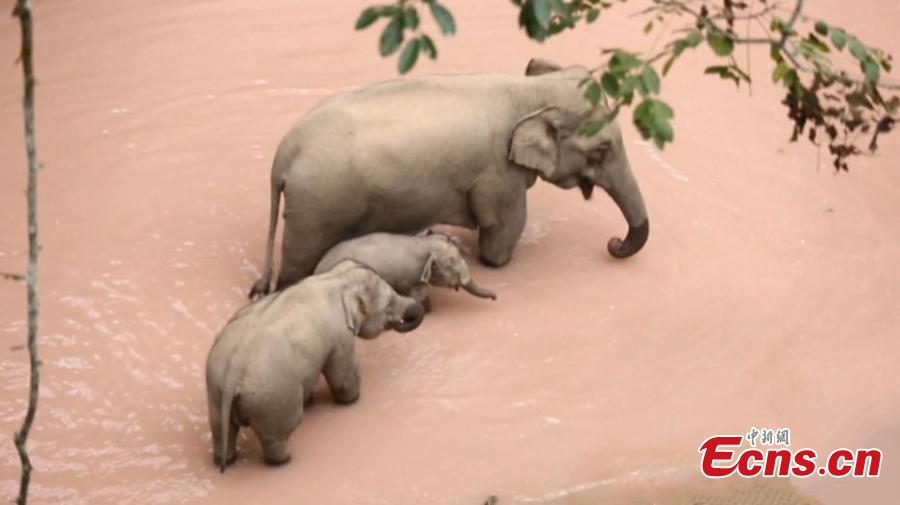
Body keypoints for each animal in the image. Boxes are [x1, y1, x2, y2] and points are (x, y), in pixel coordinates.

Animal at [206, 260, 425, 471]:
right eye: (389, 304)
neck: (336, 278)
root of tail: (232, 374)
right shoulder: (340, 336)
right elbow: (342, 377)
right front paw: (353, 401)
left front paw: (311, 400)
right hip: (272, 399)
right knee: (279, 433)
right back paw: (285, 461)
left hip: (216, 392)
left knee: (221, 430)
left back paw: (226, 460)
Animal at [248, 57, 648, 299]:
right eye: (601, 150)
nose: (614, 243)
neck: (530, 92)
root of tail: (283, 155)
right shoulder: (498, 173)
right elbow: (504, 228)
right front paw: (493, 262)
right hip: (316, 208)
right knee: (297, 264)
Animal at [313, 230, 497, 311]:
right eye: (451, 267)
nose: (496, 297)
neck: (425, 244)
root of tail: (317, 267)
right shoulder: (413, 278)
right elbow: (418, 295)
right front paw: (427, 311)